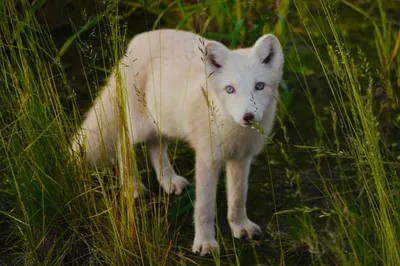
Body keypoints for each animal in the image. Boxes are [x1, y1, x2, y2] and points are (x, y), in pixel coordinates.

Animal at [71, 28, 284, 256]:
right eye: (230, 89)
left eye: (259, 86)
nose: (248, 116)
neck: (233, 129)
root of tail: (139, 39)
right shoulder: (207, 159)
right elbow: (205, 208)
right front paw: (205, 244)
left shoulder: (242, 158)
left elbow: (238, 198)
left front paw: (241, 227)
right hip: (140, 127)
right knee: (122, 142)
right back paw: (132, 186)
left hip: (164, 126)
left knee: (155, 148)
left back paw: (169, 181)